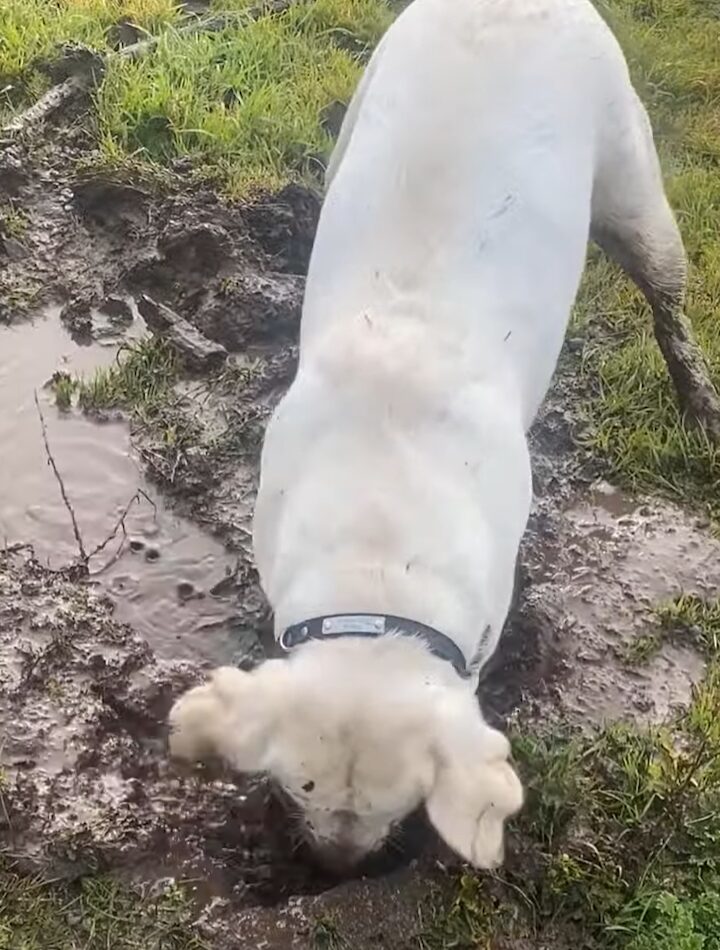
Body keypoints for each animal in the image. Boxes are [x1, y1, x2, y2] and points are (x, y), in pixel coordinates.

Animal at [169, 0, 688, 872]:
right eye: (299, 787)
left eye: (401, 805)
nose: (338, 870)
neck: (380, 555)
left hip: (630, 167)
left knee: (666, 289)